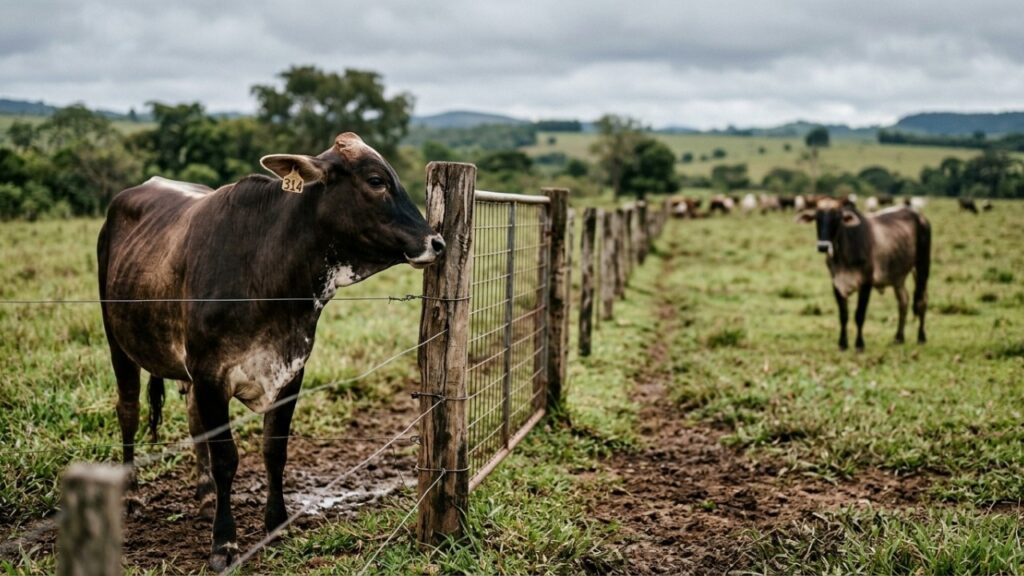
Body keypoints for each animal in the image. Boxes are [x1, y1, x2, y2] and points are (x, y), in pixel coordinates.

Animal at [97, 132, 444, 571]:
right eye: (377, 181)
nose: (437, 242)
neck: (270, 273)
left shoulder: (291, 372)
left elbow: (274, 450)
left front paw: (276, 524)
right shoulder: (211, 376)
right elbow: (227, 458)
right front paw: (224, 543)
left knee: (193, 423)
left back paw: (205, 496)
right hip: (118, 343)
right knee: (128, 411)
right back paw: (131, 495)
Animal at [797, 202, 930, 351]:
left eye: (837, 219)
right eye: (817, 218)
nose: (823, 247)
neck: (843, 256)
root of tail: (919, 215)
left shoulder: (866, 284)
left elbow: (859, 315)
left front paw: (859, 344)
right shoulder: (836, 284)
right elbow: (843, 315)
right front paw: (842, 343)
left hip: (922, 268)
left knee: (922, 301)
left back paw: (921, 337)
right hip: (898, 277)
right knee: (903, 301)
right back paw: (899, 338)